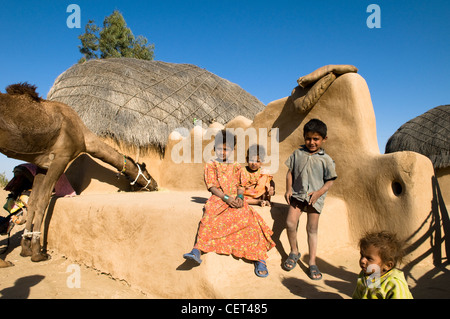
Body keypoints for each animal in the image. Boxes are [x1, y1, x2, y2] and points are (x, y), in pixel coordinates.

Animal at [0, 82, 158, 262]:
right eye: (147, 173)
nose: (155, 184)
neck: (84, 137)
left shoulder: (42, 164)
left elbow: (32, 201)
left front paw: (25, 248)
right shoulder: (61, 157)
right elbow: (43, 201)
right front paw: (38, 252)